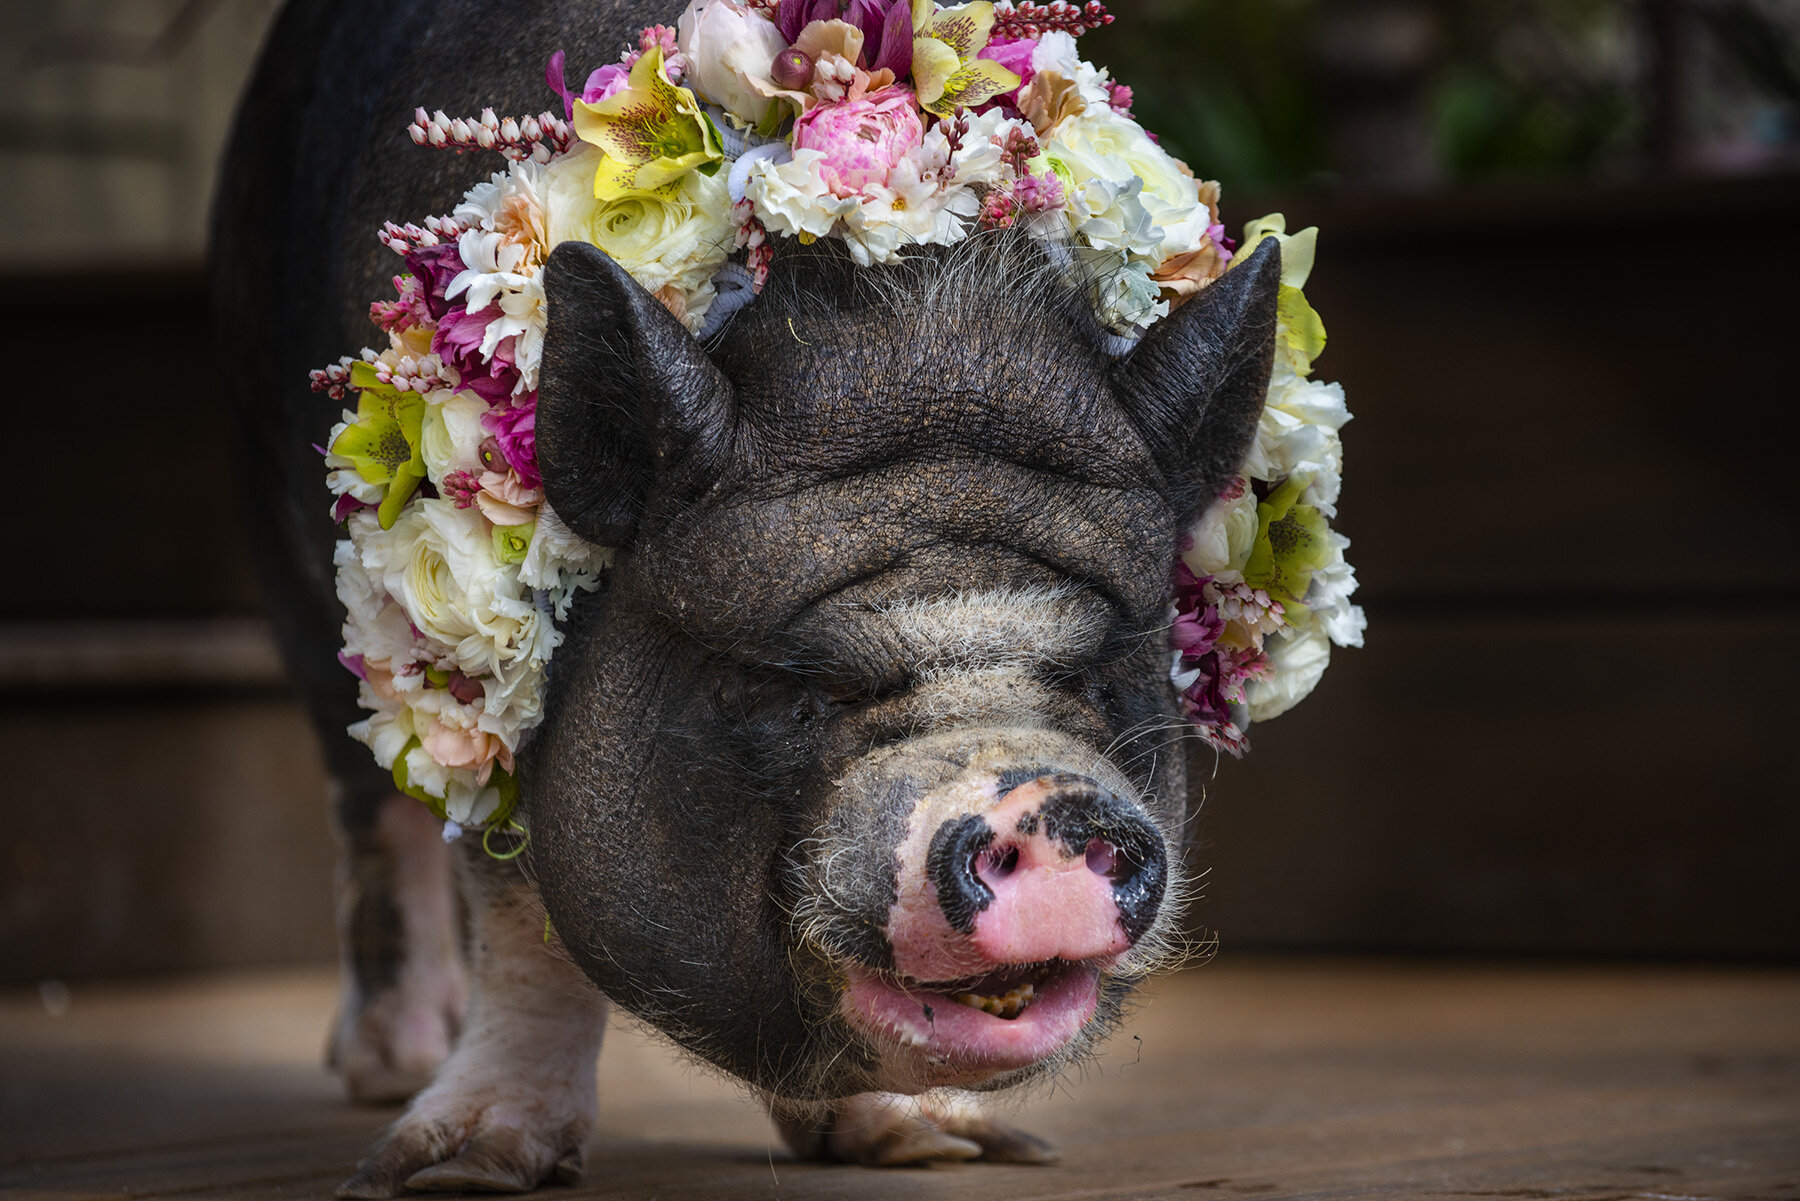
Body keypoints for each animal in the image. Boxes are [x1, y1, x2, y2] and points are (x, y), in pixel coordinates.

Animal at [214, 0, 1281, 1195]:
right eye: (799, 689)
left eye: (1100, 675)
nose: (1050, 801)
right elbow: (518, 920)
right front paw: (460, 1165)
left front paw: (931, 1142)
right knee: (368, 798)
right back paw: (391, 1071)